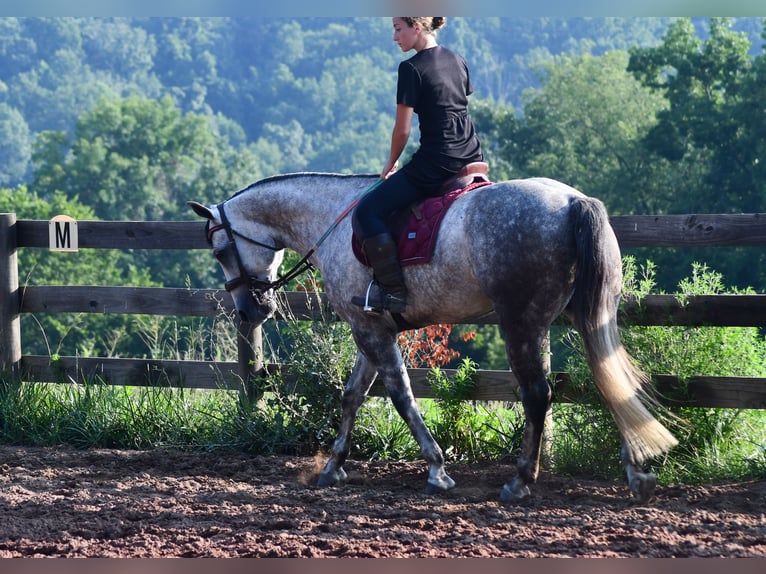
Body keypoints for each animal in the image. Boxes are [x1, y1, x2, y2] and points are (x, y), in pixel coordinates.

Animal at [189, 172, 678, 503]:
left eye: (220, 251)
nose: (250, 310)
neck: (331, 220)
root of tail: (573, 201)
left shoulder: (370, 329)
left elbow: (401, 396)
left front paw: (437, 468)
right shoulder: (372, 327)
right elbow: (352, 395)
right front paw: (333, 467)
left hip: (522, 324)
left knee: (538, 394)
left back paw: (521, 480)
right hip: (587, 317)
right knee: (609, 378)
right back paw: (636, 473)